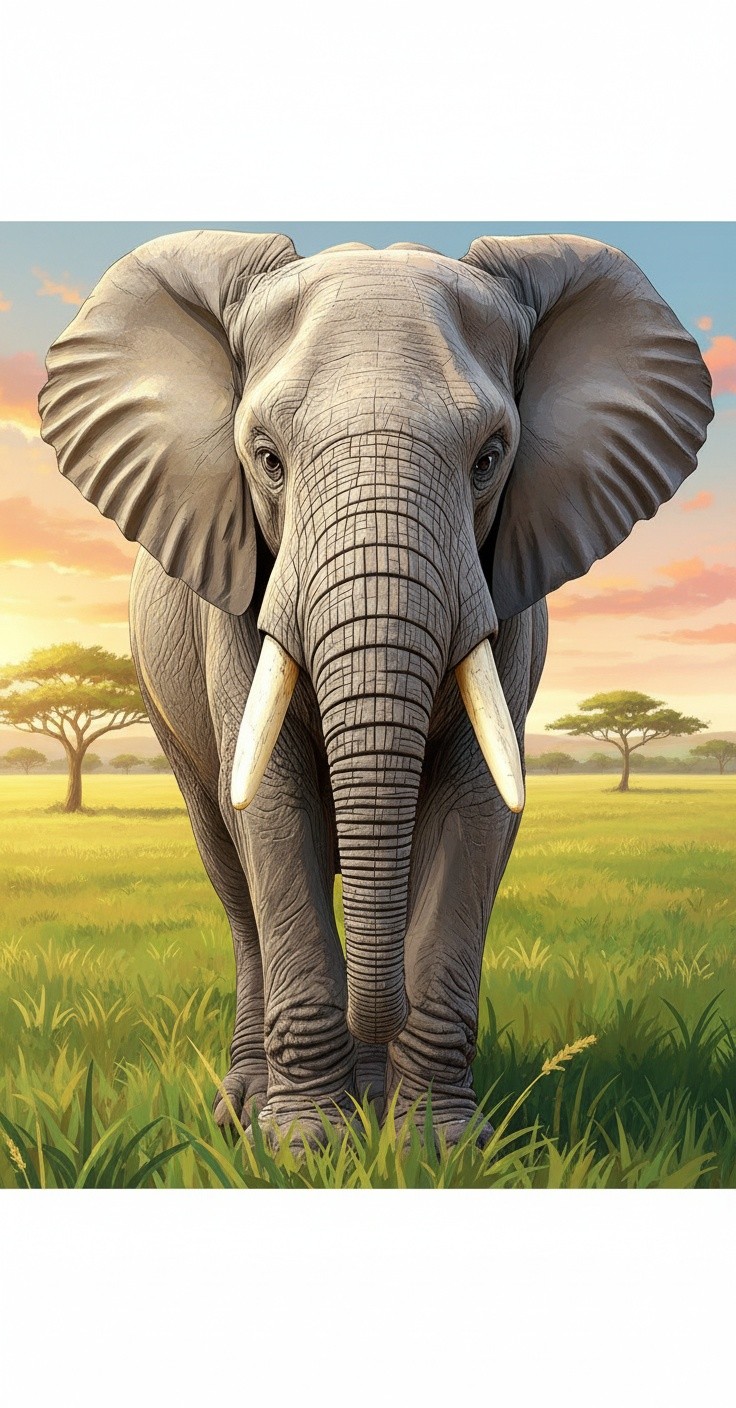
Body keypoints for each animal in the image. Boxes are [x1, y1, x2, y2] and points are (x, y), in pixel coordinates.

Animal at [38, 230, 713, 1147]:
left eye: (489, 459)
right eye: (267, 460)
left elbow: (477, 804)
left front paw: (436, 1144)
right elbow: (272, 805)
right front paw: (302, 1145)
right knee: (228, 865)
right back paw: (246, 1106)